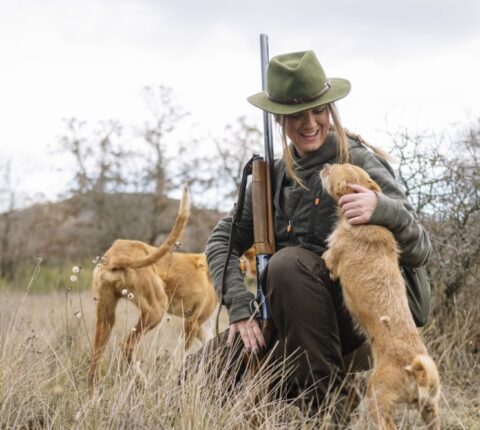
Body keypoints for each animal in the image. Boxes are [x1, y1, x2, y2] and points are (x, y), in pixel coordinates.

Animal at [320, 163, 440, 428]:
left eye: (336, 168)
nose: (324, 165)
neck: (367, 222)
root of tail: (417, 373)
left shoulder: (330, 259)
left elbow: (327, 258)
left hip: (376, 402)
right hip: (430, 410)